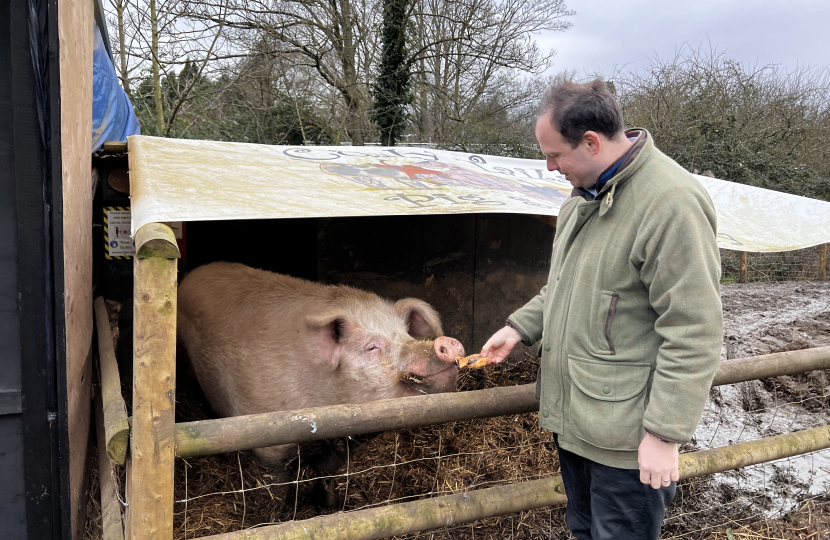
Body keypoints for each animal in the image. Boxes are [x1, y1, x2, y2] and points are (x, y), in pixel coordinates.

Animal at [178, 262, 464, 506]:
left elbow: (326, 478)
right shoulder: (267, 445)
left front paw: (327, 507)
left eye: (406, 336)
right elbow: (272, 494)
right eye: (371, 347)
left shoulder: (337, 448)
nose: (447, 342)